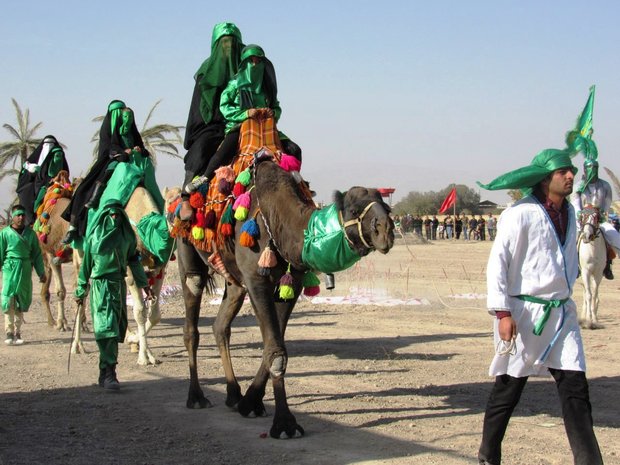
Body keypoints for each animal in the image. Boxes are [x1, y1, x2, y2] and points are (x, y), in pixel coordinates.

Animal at [177, 153, 394, 438]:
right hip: (187, 251)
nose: (386, 230)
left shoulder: (291, 284)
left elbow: (275, 345)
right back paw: (196, 397)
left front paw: (251, 403)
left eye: (387, 208)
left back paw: (233, 395)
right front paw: (284, 424)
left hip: (234, 280)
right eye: (355, 210)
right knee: (192, 318)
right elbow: (276, 350)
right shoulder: (257, 279)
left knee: (220, 325)